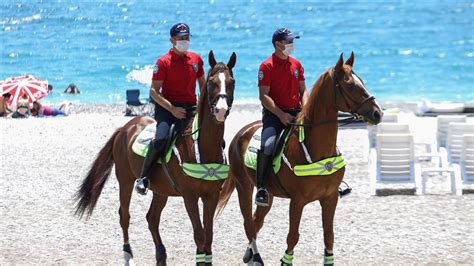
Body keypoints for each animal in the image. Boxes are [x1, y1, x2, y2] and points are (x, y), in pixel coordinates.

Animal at [76, 51, 237, 264]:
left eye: (232, 82)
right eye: (211, 82)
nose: (220, 110)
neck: (202, 148)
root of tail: (125, 128)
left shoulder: (211, 196)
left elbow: (208, 236)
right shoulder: (190, 196)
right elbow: (199, 235)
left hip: (161, 190)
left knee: (151, 218)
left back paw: (161, 254)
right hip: (125, 181)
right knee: (124, 216)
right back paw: (128, 254)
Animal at [217, 53, 384, 264]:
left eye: (361, 81)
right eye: (351, 85)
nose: (378, 113)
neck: (316, 149)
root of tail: (241, 133)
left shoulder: (330, 198)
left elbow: (329, 236)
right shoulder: (297, 201)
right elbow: (292, 236)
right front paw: (285, 260)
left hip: (269, 194)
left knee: (256, 221)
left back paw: (249, 254)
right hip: (244, 187)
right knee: (249, 223)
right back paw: (256, 257)